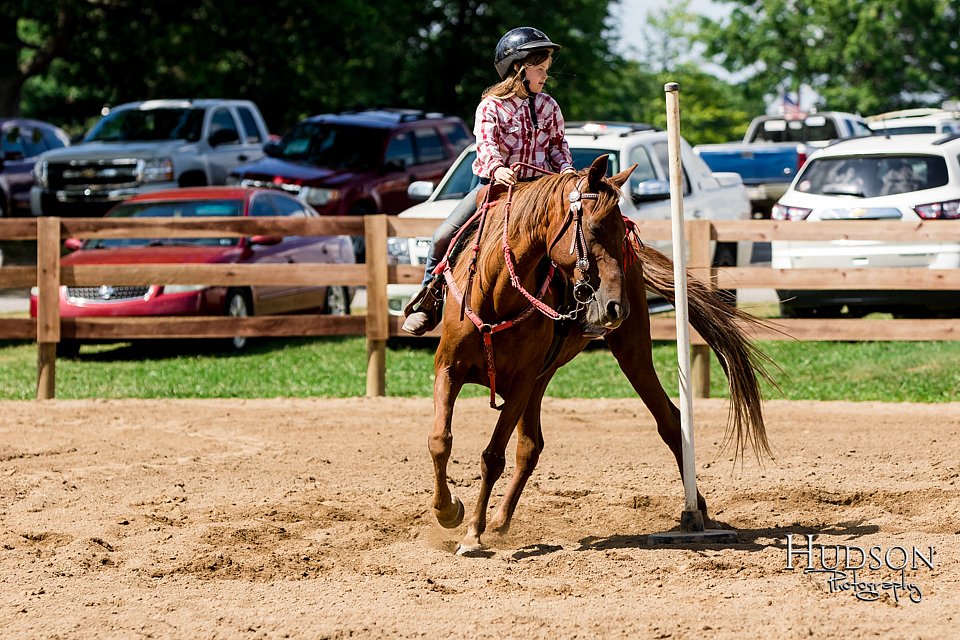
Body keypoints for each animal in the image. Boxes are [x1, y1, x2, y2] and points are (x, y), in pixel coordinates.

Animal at [430, 155, 772, 556]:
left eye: (620, 231)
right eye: (593, 229)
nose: (615, 306)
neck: (496, 294)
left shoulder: (519, 385)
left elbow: (492, 456)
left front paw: (471, 532)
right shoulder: (449, 369)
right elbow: (440, 440)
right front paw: (447, 511)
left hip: (631, 352)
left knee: (671, 422)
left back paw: (696, 510)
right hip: (543, 378)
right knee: (530, 447)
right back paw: (500, 520)